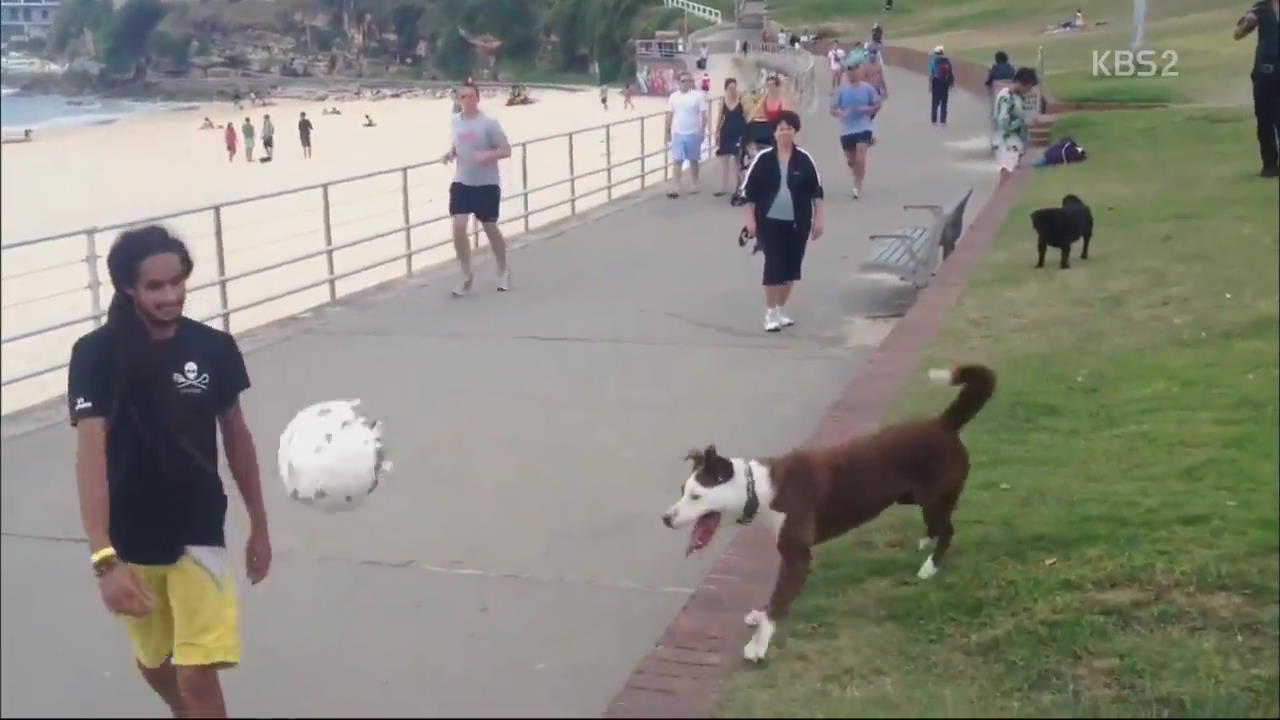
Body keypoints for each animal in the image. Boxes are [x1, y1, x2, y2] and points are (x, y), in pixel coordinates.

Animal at [660, 363, 998, 661]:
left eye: (696, 495)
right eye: (682, 490)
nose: (665, 518)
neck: (760, 489)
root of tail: (944, 424)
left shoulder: (798, 558)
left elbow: (777, 602)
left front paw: (758, 644)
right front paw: (760, 618)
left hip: (934, 499)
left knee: (949, 529)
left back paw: (930, 566)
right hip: (910, 497)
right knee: (940, 526)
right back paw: (927, 542)